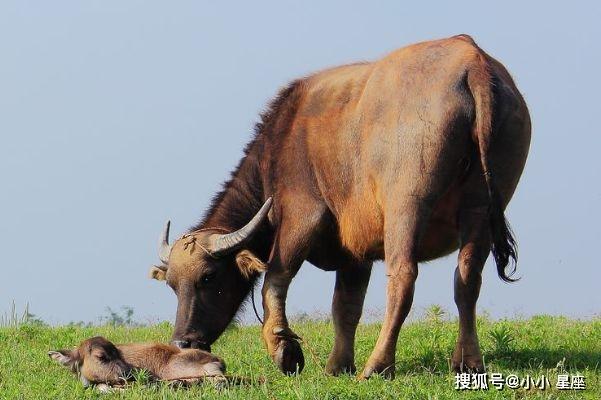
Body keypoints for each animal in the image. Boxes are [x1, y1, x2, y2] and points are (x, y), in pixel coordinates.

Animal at [149, 34, 528, 378]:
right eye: (172, 285)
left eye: (209, 276)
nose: (183, 341)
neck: (280, 142)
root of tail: (473, 63)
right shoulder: (355, 253)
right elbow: (345, 306)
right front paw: (338, 365)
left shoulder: (301, 215)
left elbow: (276, 279)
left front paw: (285, 350)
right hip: (480, 208)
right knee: (467, 279)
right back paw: (467, 362)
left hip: (406, 206)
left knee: (403, 277)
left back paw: (378, 365)